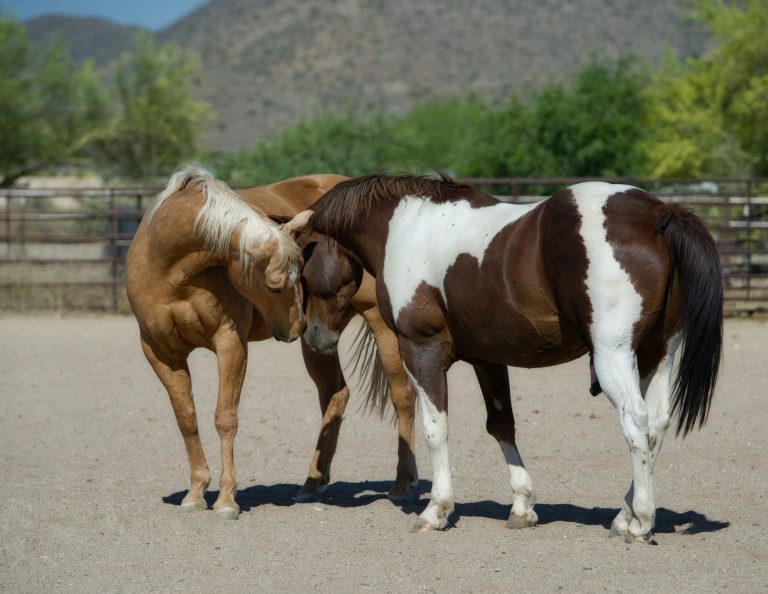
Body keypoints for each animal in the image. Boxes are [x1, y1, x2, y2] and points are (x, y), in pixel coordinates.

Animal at [126, 167, 417, 519]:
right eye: (275, 286)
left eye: (300, 273)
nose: (296, 326)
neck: (168, 268)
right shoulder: (160, 352)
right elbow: (186, 418)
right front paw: (196, 493)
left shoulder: (231, 344)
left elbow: (225, 418)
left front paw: (226, 500)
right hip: (320, 339)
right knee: (335, 394)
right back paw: (311, 484)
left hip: (378, 326)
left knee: (402, 396)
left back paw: (402, 485)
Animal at [288, 173, 723, 542]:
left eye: (302, 271)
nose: (314, 337)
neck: (404, 227)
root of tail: (658, 214)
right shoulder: (488, 359)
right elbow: (502, 426)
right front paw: (522, 506)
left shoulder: (422, 350)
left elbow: (435, 429)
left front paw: (436, 510)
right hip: (657, 353)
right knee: (656, 424)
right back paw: (624, 515)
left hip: (613, 355)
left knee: (636, 422)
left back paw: (641, 522)